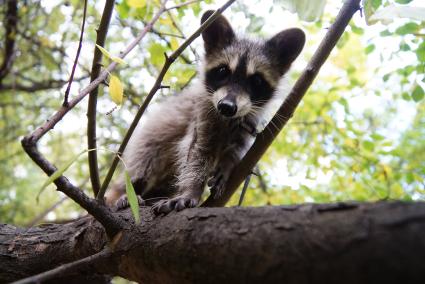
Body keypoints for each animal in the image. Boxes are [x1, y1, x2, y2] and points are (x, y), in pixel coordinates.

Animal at [107, 10, 304, 214]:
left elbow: (237, 148)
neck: (228, 119)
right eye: (223, 71)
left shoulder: (248, 122)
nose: (226, 106)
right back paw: (122, 193)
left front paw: (227, 163)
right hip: (146, 146)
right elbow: (196, 152)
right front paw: (191, 190)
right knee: (142, 167)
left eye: (256, 80)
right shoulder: (202, 114)